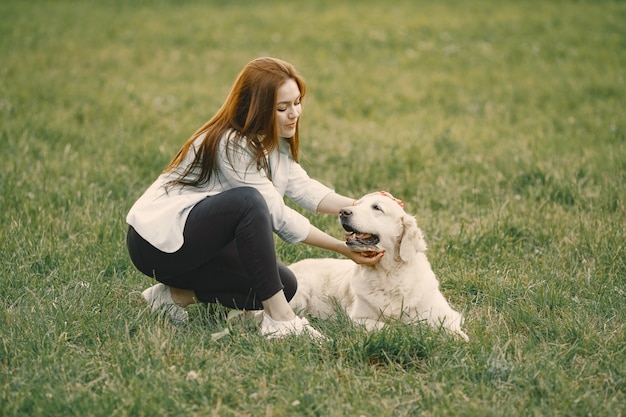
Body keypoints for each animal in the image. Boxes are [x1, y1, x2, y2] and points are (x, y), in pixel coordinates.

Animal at [288, 192, 468, 342]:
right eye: (357, 204)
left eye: (376, 207)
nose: (343, 211)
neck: (389, 275)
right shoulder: (357, 319)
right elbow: (392, 327)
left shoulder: (444, 313)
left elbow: (454, 331)